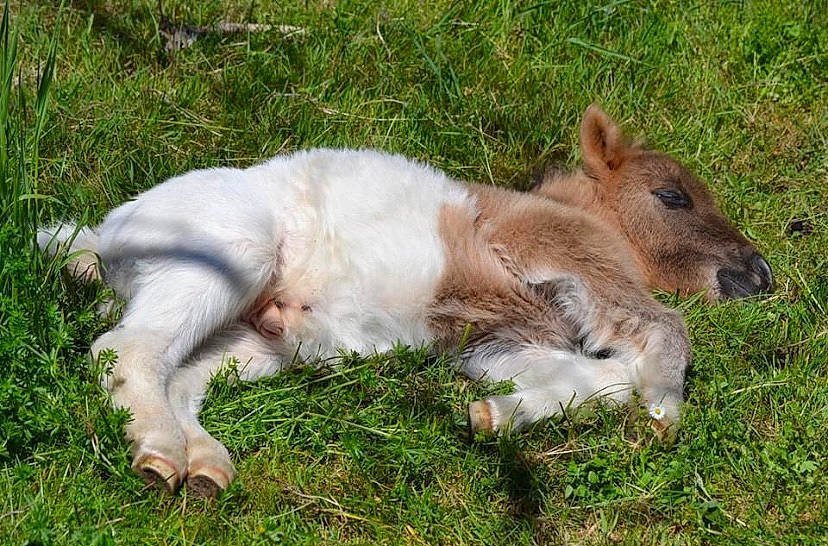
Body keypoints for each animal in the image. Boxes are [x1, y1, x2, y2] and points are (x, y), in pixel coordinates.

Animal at [38, 105, 772, 497]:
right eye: (671, 197)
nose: (760, 275)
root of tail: (104, 234)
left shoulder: (499, 343)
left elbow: (606, 377)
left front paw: (495, 416)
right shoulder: (562, 254)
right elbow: (665, 331)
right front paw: (666, 416)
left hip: (256, 340)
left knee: (179, 375)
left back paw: (205, 465)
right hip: (230, 255)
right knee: (125, 348)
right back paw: (162, 454)